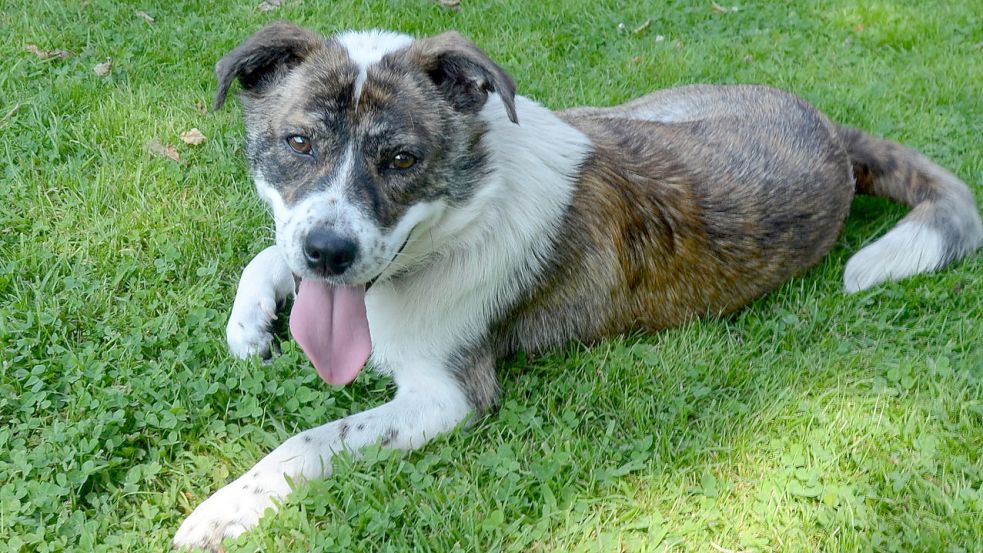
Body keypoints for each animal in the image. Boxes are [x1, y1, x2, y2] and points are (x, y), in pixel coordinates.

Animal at [173, 20, 980, 548]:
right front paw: (249, 326)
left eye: (402, 159)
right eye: (298, 142)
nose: (330, 254)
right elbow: (267, 256)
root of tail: (833, 134)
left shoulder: (447, 397)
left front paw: (224, 508)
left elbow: (312, 439)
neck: (464, 211)